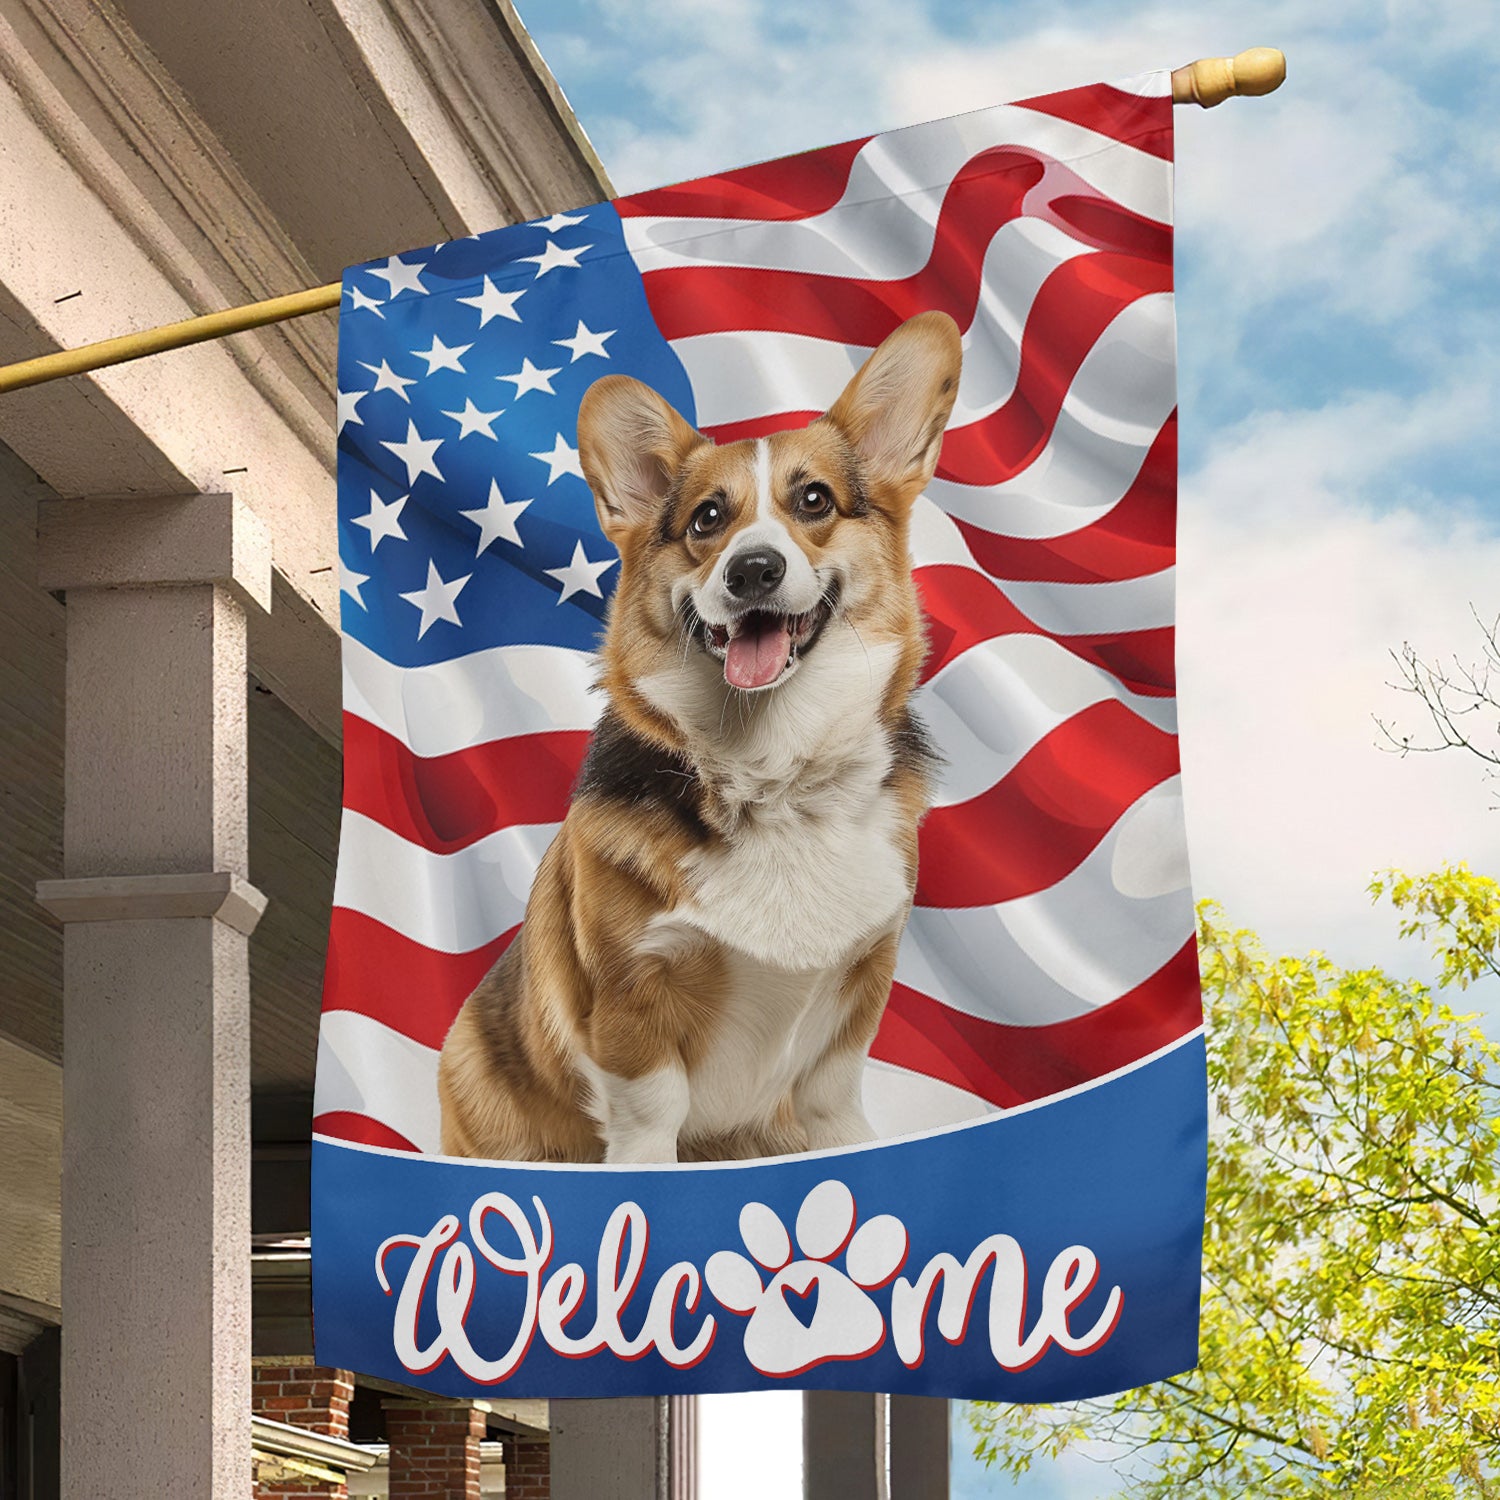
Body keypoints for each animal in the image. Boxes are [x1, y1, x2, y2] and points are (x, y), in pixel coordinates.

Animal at [438, 310, 966, 1164]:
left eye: (814, 500)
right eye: (707, 519)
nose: (752, 570)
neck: (772, 770)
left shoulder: (863, 980)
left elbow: (831, 1093)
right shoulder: (632, 994)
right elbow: (653, 1110)